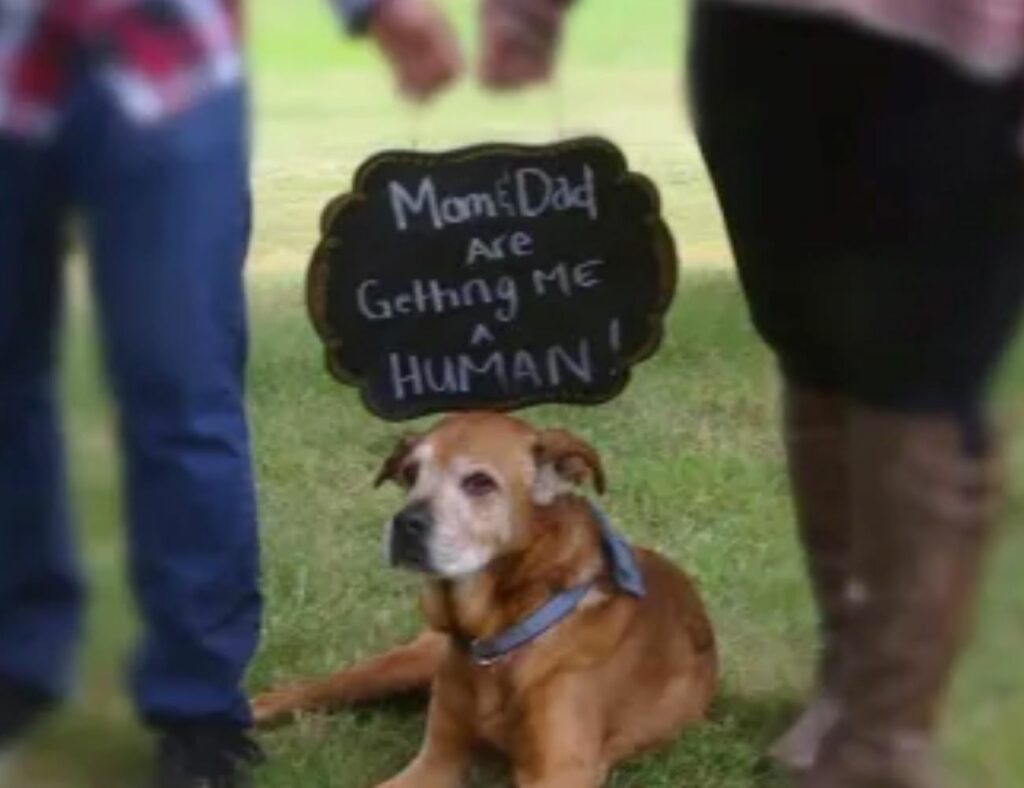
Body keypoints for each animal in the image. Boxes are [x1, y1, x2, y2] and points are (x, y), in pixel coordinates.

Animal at [251, 411, 716, 785]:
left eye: (479, 482)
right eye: (410, 473)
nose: (404, 524)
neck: (500, 633)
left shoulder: (559, 770)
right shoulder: (437, 757)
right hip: (403, 664)